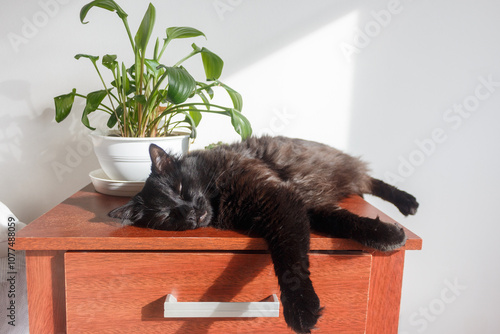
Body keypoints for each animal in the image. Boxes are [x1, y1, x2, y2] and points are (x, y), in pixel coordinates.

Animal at [110, 136, 418, 334]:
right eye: (166, 215)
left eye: (181, 187)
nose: (190, 212)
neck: (219, 195)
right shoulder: (296, 205)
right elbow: (336, 225)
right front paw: (385, 235)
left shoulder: (279, 198)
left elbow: (291, 260)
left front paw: (301, 308)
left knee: (371, 181)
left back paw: (408, 203)